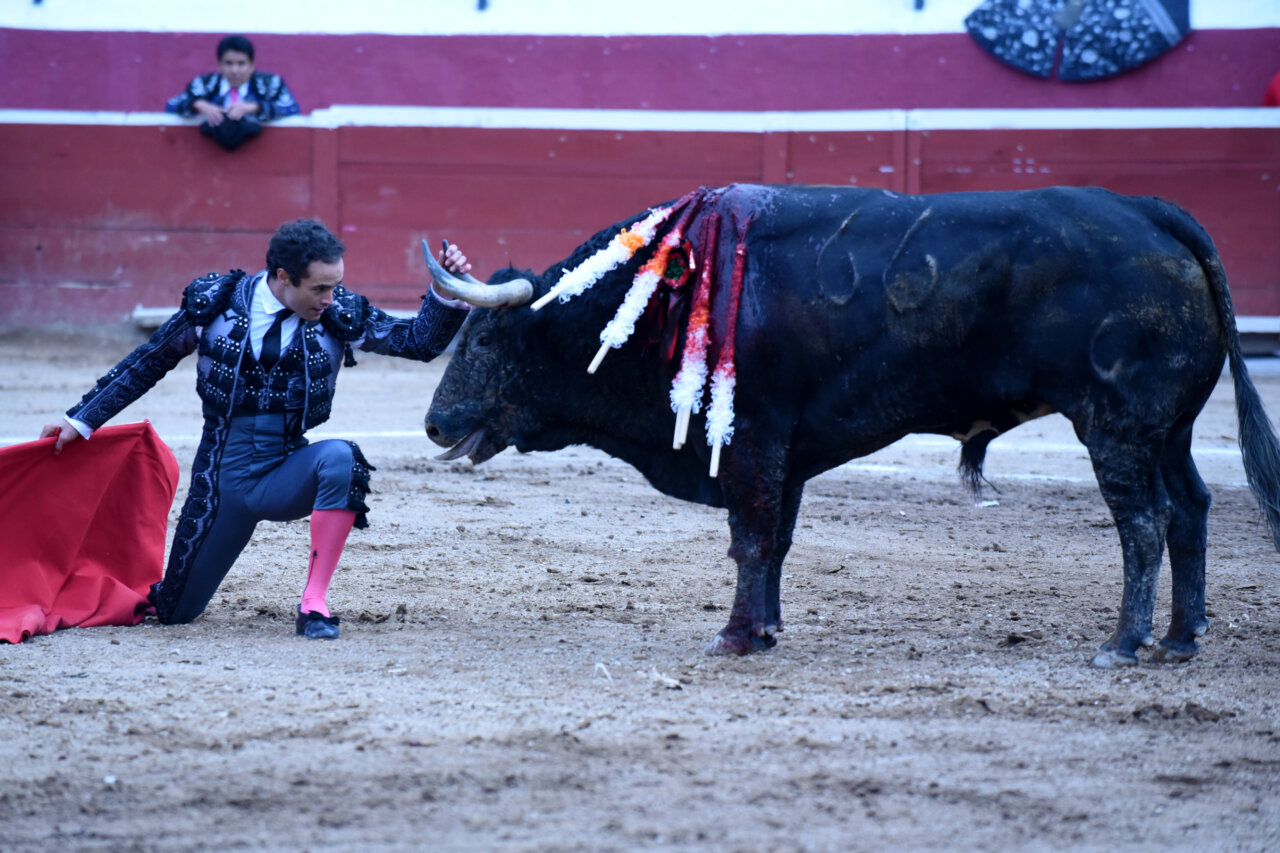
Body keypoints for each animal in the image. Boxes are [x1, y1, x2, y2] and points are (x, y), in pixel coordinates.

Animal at [423, 183, 1280, 667]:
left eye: (486, 341)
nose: (432, 424)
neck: (664, 293)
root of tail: (1150, 213)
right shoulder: (787, 452)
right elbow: (774, 540)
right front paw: (765, 628)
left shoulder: (753, 437)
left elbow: (750, 536)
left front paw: (734, 637)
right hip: (1167, 431)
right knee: (1192, 508)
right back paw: (1180, 638)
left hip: (1116, 427)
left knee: (1143, 522)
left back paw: (1122, 645)